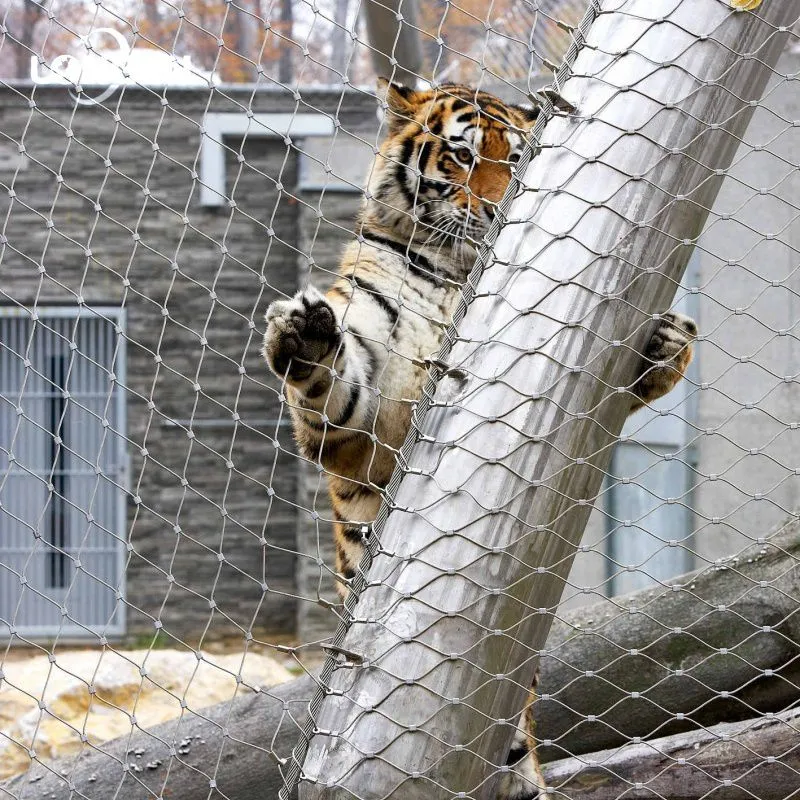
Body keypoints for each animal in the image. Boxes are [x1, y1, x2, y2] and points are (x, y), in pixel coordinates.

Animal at [262, 78, 697, 799]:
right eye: (461, 157)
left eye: (517, 159)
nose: (497, 209)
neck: (454, 271)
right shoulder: (364, 416)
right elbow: (337, 383)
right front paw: (306, 335)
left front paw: (667, 340)